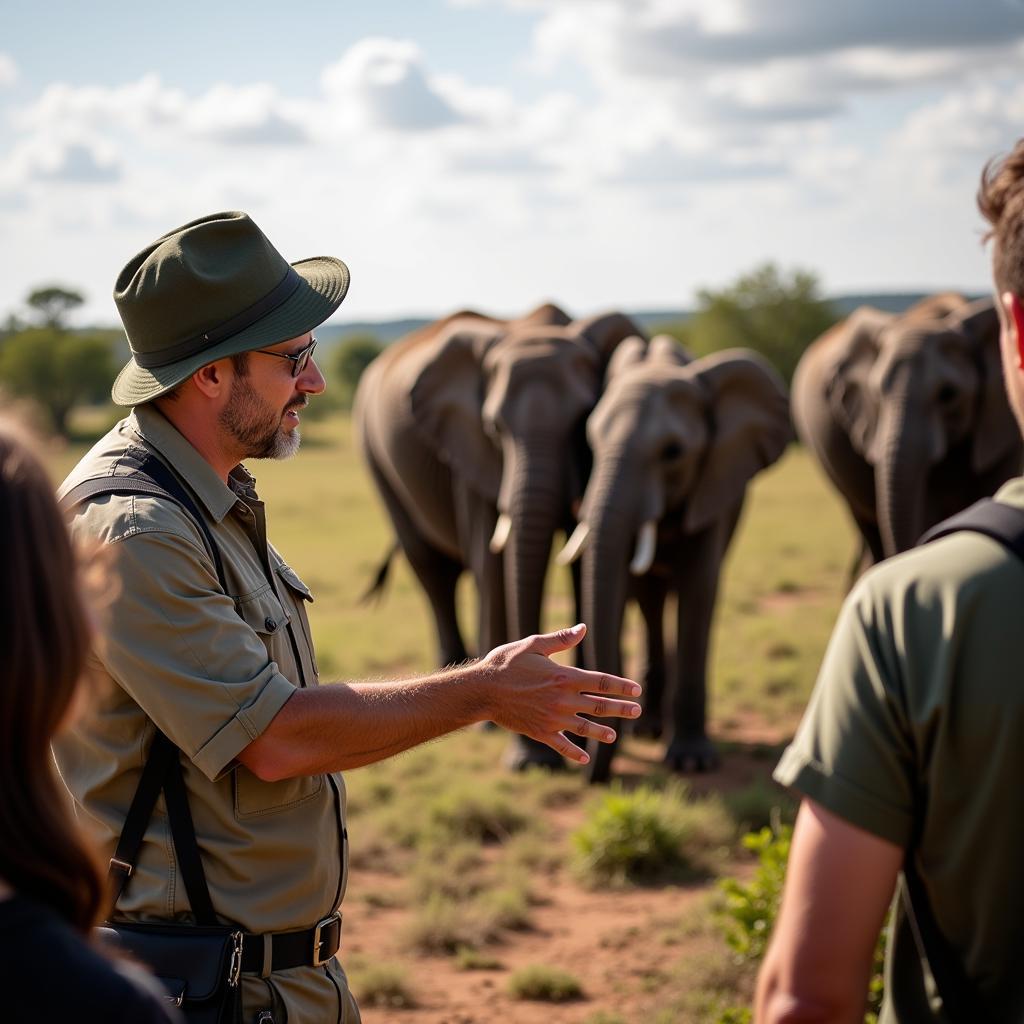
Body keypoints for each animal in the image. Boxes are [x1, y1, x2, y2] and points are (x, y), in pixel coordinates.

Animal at [352, 303, 638, 770]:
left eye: (582, 422)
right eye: (494, 426)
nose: (536, 759)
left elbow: (580, 562)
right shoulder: (470, 448)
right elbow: (493, 560)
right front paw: (526, 755)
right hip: (375, 457)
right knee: (430, 568)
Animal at [552, 337, 790, 782]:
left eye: (673, 452)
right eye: (591, 443)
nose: (593, 774)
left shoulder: (713, 483)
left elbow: (699, 587)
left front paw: (692, 761)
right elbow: (625, 584)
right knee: (650, 598)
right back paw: (647, 729)